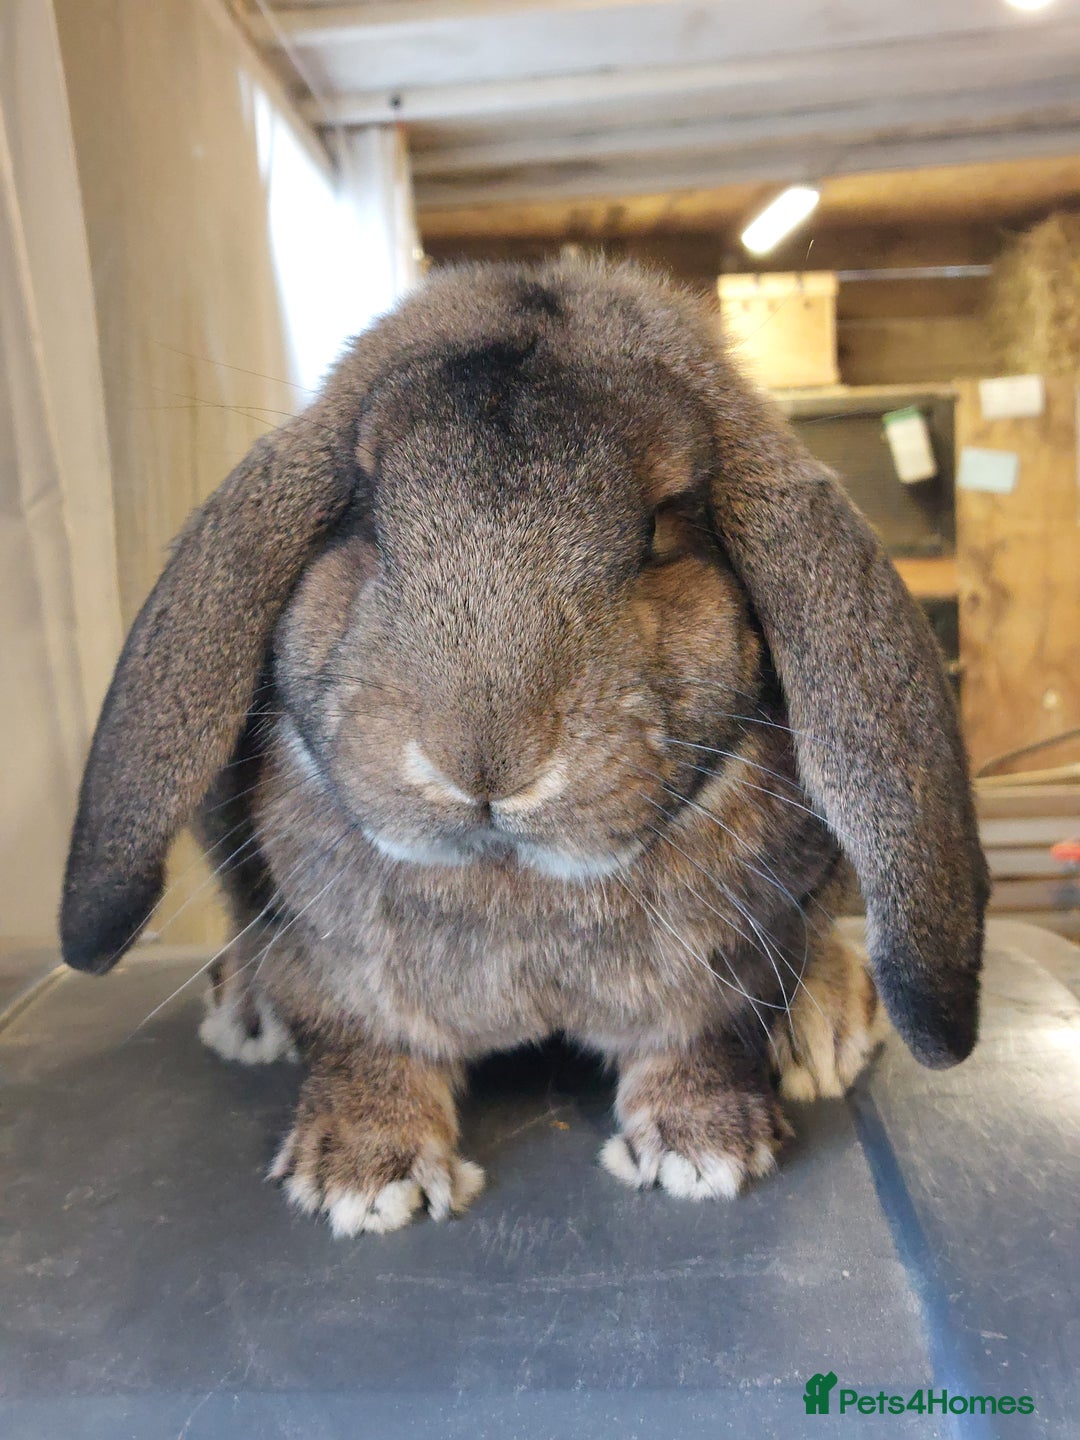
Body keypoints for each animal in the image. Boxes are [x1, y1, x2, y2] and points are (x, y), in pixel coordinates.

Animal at [60, 257, 987, 1236]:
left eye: (661, 529)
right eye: (365, 520)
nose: (484, 762)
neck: (513, 887)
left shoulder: (730, 973)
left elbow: (705, 1043)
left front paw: (706, 1149)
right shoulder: (332, 974)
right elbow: (361, 1048)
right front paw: (364, 1176)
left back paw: (826, 1025)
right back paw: (245, 1017)